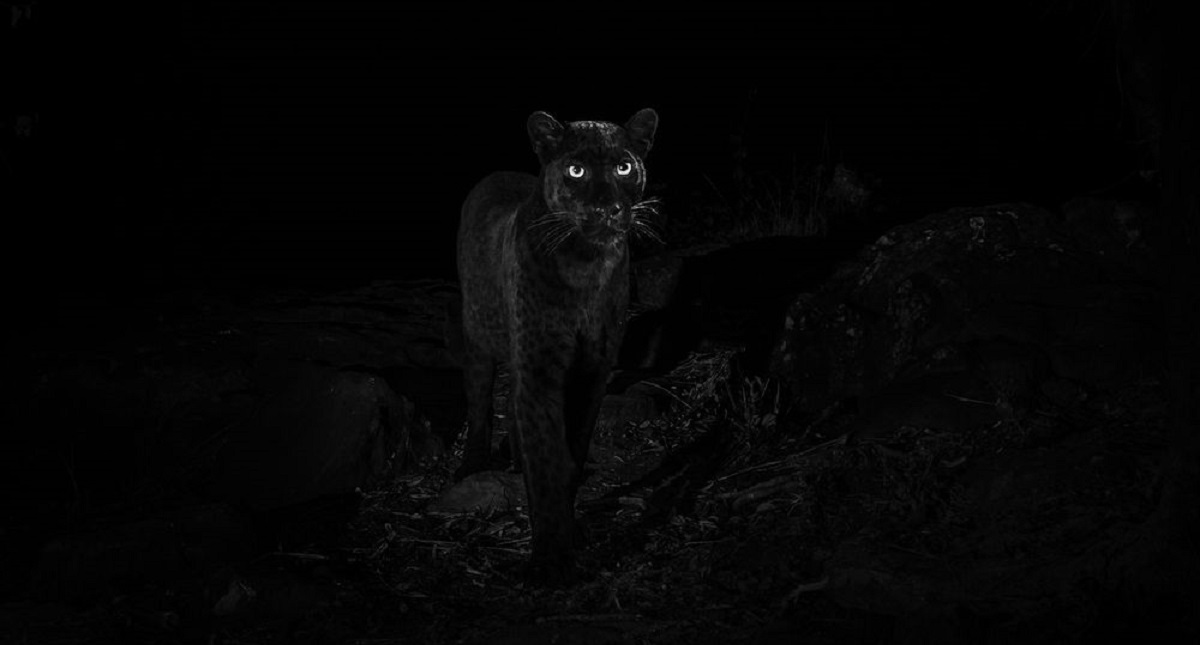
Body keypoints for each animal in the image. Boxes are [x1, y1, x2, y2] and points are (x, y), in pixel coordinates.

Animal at [456, 108, 659, 583]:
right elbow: (548, 457)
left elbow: (573, 451)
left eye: (624, 167)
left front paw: (570, 530)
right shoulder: (540, 368)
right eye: (576, 170)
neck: (586, 264)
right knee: (478, 397)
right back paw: (474, 462)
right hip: (477, 336)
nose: (606, 209)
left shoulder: (593, 370)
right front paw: (551, 559)